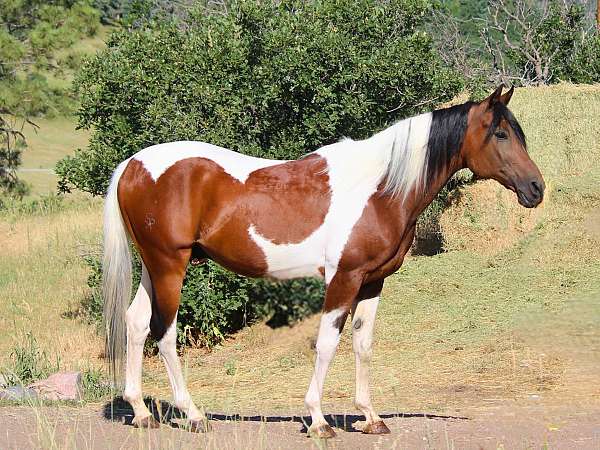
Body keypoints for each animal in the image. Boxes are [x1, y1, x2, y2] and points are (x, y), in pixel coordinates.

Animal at [102, 86, 544, 438]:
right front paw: (318, 420)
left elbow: (363, 344)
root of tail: (133, 164)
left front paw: (370, 417)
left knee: (136, 323)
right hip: (170, 267)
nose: (536, 188)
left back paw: (141, 412)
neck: (379, 188)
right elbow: (328, 343)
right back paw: (193, 415)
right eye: (501, 133)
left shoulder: (373, 281)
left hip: (153, 267)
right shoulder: (343, 278)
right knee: (165, 333)